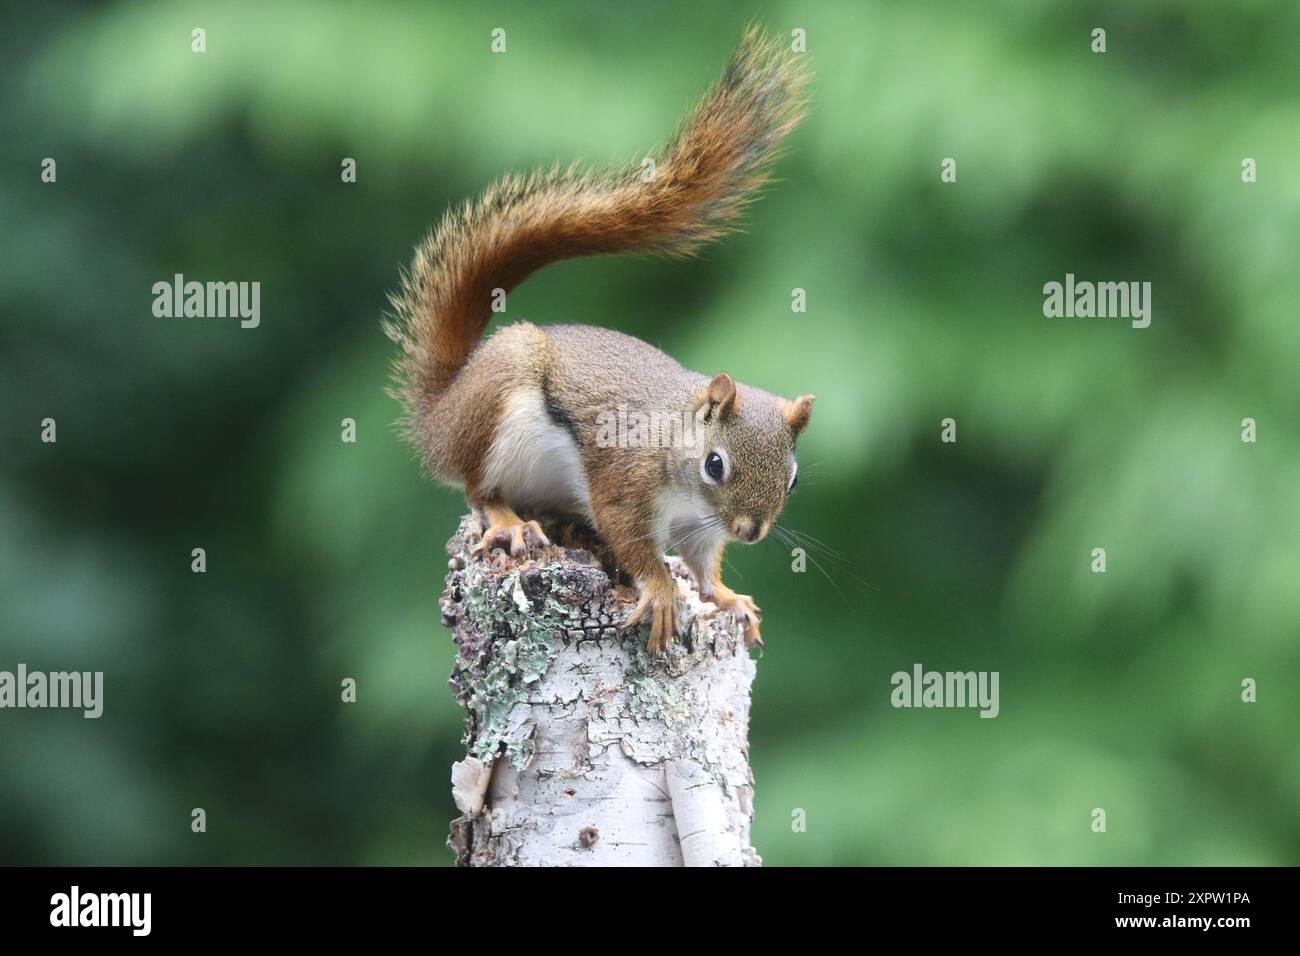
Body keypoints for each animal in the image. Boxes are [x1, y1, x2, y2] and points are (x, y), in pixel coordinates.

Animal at [386, 27, 813, 652]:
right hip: (495, 408)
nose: (751, 531)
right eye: (715, 465)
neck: (674, 443)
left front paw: (728, 598)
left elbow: (702, 563)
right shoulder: (624, 480)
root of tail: (440, 414)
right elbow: (632, 539)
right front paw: (660, 592)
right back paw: (512, 523)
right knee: (477, 487)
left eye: (794, 475)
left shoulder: (699, 525)